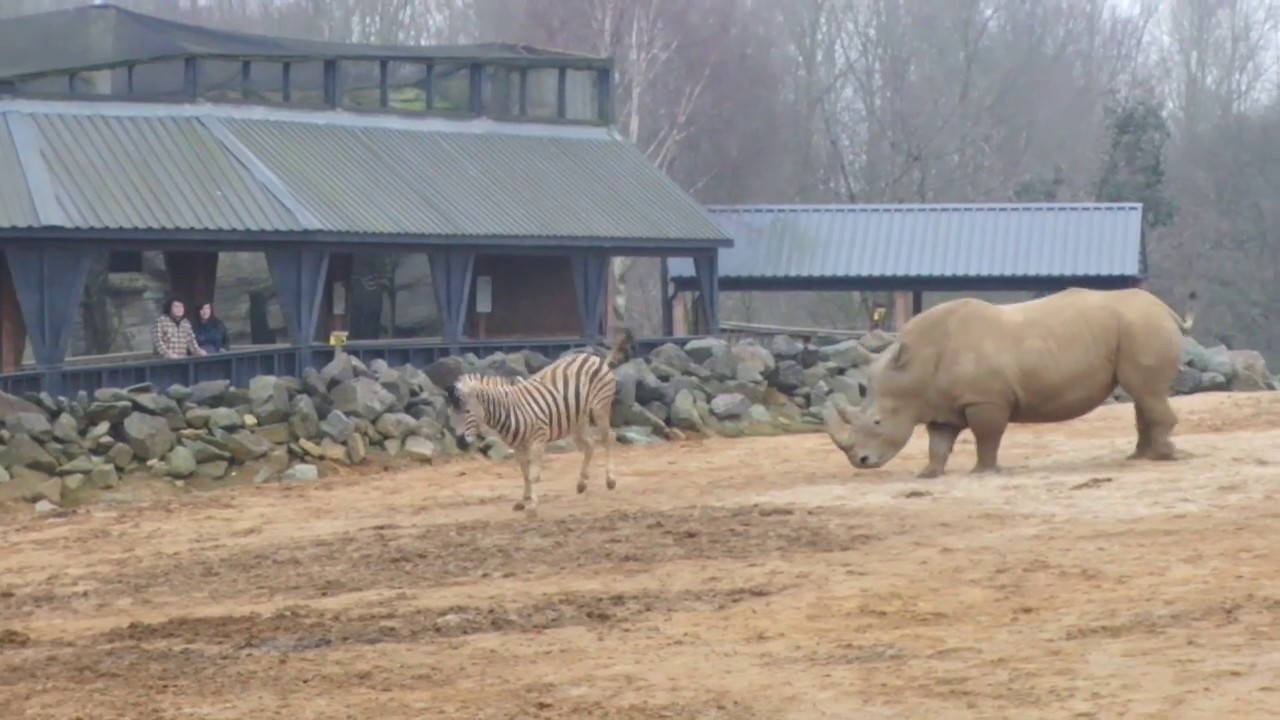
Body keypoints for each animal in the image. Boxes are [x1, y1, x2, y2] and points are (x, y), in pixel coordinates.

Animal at [446, 329, 634, 514]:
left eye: (467, 411)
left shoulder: (537, 440)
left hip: (600, 408)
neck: (510, 411)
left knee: (607, 439)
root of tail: (595, 358)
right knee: (590, 444)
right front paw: (524, 500)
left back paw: (610, 480)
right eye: (455, 409)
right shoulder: (518, 447)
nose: (460, 442)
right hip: (576, 420)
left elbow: (533, 475)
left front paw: (533, 505)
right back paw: (581, 483)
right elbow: (525, 473)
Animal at [822, 287, 1198, 478]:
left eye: (876, 422)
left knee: (1146, 391)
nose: (860, 462)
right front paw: (928, 474)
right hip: (1136, 327)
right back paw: (1140, 457)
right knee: (1143, 394)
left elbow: (987, 436)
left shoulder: (984, 399)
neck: (914, 368)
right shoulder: (940, 403)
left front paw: (983, 472)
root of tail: (1164, 309)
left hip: (1142, 327)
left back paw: (1163, 458)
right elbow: (938, 441)